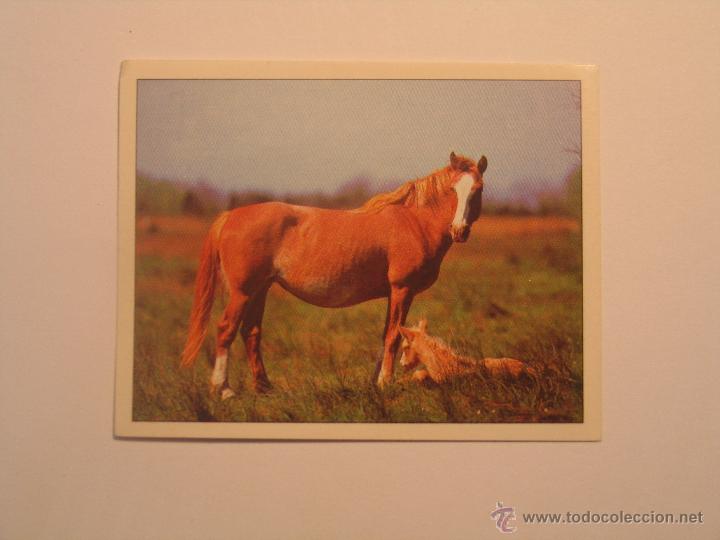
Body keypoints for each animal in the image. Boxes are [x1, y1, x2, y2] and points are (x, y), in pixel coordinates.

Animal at [180, 152, 487, 398]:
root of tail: (231, 215)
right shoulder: (402, 289)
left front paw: (375, 382)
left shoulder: (392, 293)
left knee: (251, 333)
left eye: (478, 189)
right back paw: (224, 390)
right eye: (453, 189)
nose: (459, 230)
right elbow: (393, 336)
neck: (414, 222)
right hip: (242, 292)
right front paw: (386, 383)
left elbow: (385, 335)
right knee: (226, 330)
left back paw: (264, 387)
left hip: (260, 290)